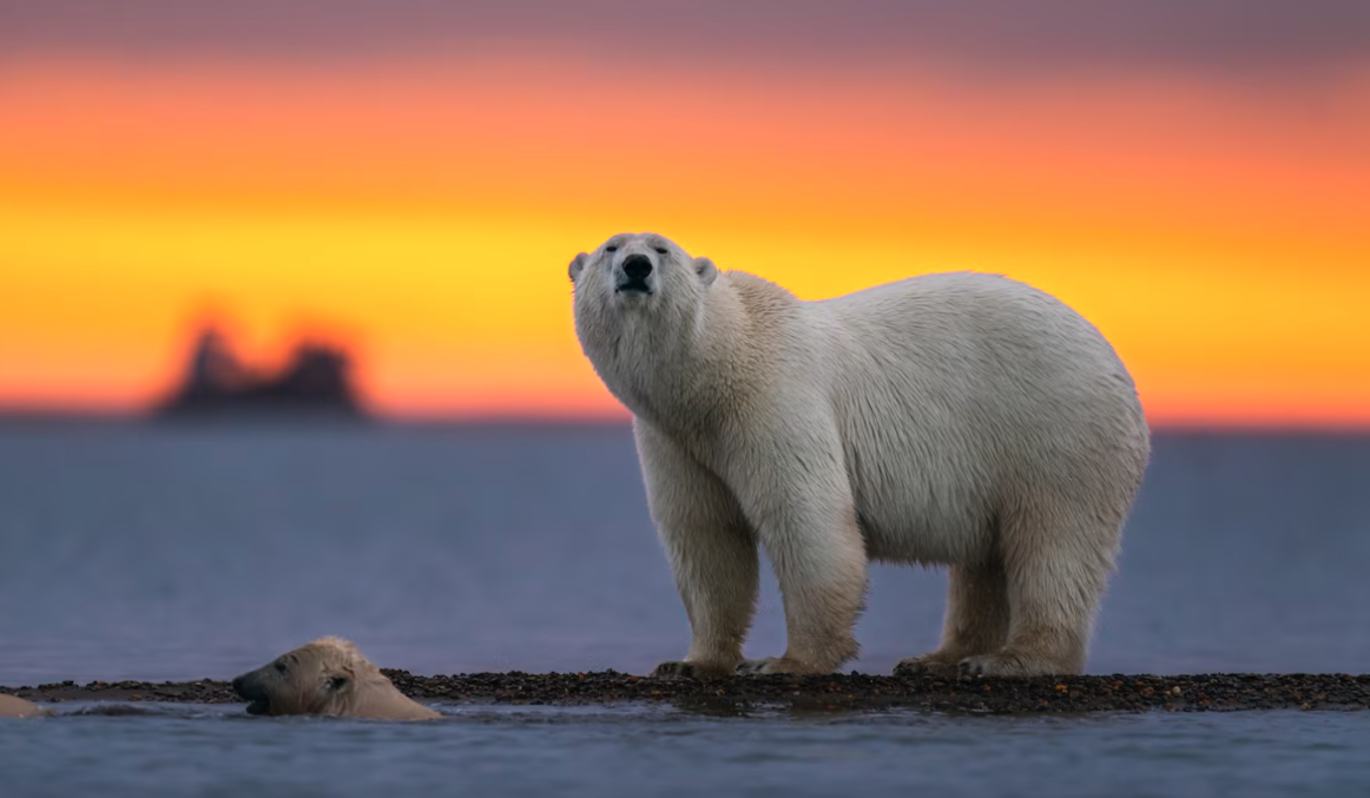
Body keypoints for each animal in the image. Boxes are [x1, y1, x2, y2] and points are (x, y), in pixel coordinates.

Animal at [572, 233, 1150, 682]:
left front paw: (785, 663)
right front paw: (690, 663)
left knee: (1054, 542)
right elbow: (705, 536)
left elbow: (807, 519)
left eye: (661, 248)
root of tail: (1117, 365)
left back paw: (1012, 659)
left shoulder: (776, 399)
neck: (715, 374)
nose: (636, 266)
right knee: (986, 562)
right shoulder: (675, 440)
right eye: (611, 247)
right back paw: (938, 658)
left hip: (1056, 431)